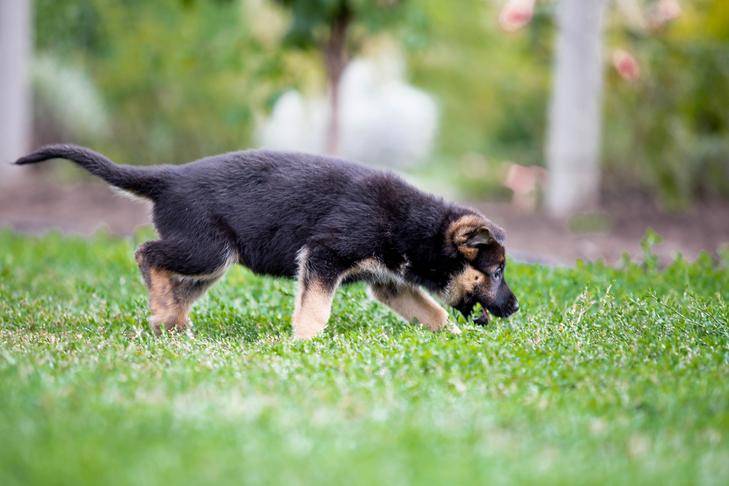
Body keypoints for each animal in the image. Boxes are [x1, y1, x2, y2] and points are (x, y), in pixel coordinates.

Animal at [17, 144, 516, 338]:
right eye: (495, 272)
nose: (514, 308)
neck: (412, 224)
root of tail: (170, 177)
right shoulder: (322, 256)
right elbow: (315, 309)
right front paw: (305, 344)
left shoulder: (388, 282)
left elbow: (432, 312)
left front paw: (454, 337)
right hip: (207, 249)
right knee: (146, 253)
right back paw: (162, 311)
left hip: (212, 261)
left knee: (175, 283)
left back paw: (171, 321)